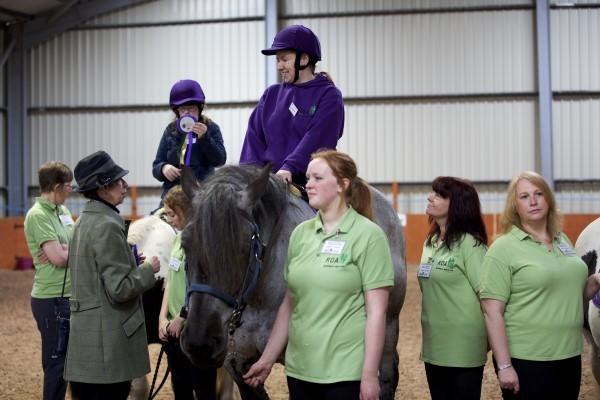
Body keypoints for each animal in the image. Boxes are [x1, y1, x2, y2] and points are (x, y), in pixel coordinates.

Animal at [176, 164, 406, 398]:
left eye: (244, 247)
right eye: (185, 244)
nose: (200, 343)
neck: (260, 299)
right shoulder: (238, 366)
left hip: (387, 327)